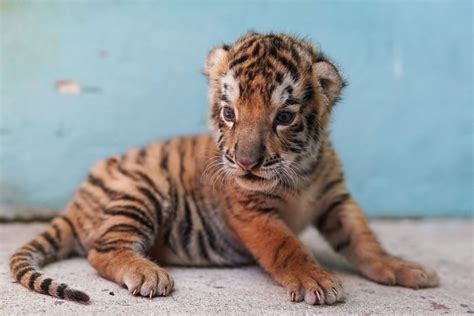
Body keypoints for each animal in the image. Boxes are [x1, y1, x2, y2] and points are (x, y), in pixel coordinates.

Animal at [8, 32, 436, 304]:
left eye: (284, 117)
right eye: (229, 114)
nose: (246, 162)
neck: (300, 174)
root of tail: (75, 202)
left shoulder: (336, 200)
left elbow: (364, 241)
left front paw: (402, 268)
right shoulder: (251, 211)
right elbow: (287, 247)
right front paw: (315, 279)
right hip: (140, 190)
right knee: (102, 249)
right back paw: (149, 273)